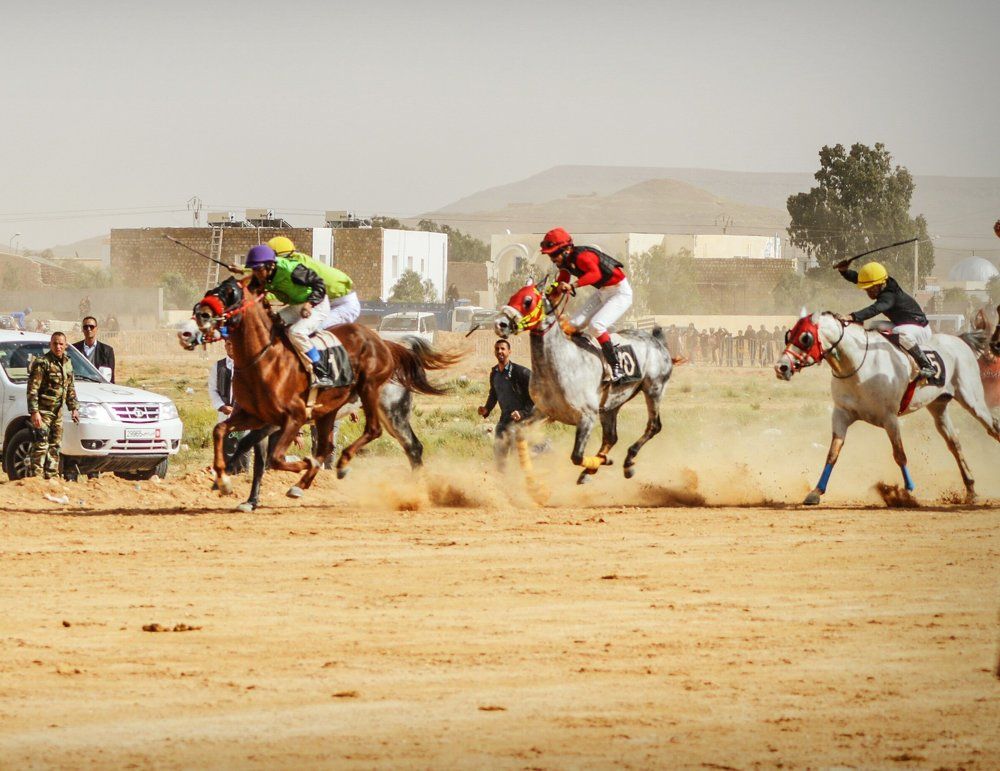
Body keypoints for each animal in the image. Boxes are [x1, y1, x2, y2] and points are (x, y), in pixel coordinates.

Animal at [178, 277, 460, 497]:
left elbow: (274, 457)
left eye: (231, 294)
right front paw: (223, 481)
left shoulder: (292, 417)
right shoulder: (255, 416)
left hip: (386, 406)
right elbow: (222, 431)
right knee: (338, 446)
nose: (187, 331)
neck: (264, 357)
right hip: (331, 413)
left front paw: (301, 464)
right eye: (210, 291)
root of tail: (385, 344)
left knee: (389, 437)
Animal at [493, 281, 674, 484]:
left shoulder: (586, 417)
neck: (562, 363)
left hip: (654, 388)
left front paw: (602, 462)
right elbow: (517, 432)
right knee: (611, 437)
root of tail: (657, 341)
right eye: (512, 297)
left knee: (654, 426)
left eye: (528, 300)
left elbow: (576, 456)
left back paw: (627, 461)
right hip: (611, 406)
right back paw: (595, 467)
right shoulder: (542, 411)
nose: (500, 324)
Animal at [775, 311, 1000, 504]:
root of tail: (960, 340)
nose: (781, 367)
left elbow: (899, 454)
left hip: (972, 399)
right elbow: (833, 453)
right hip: (938, 407)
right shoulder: (841, 414)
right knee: (954, 443)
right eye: (789, 335)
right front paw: (816, 491)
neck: (859, 365)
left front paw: (907, 491)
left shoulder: (889, 418)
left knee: (992, 426)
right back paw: (971, 489)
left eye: (805, 338)